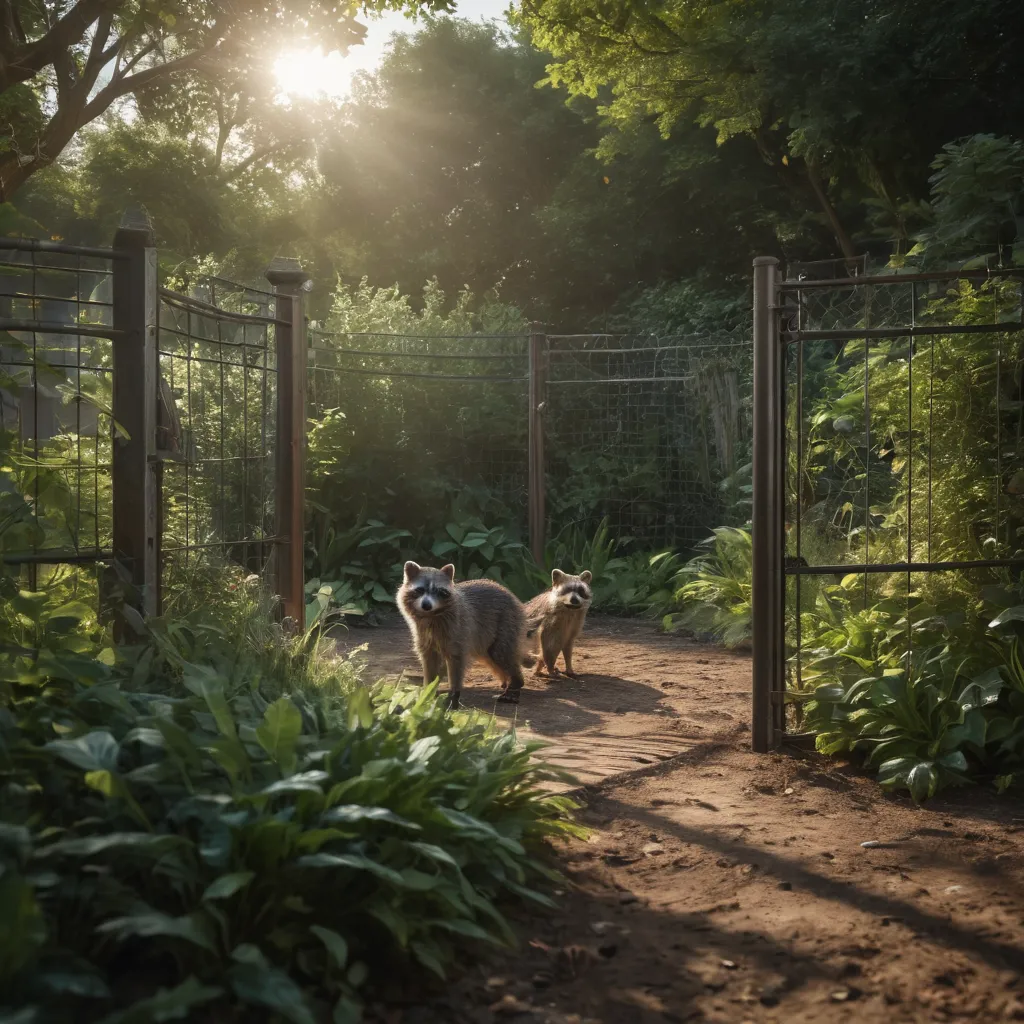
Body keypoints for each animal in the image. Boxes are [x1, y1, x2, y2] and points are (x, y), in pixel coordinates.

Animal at [397, 562, 528, 710]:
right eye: (420, 590)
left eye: (439, 591)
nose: (426, 605)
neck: (431, 615)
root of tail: (510, 593)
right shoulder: (424, 637)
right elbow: (429, 662)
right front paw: (428, 691)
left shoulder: (458, 630)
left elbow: (456, 662)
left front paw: (454, 694)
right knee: (490, 657)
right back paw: (506, 680)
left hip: (506, 621)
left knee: (501, 653)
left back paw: (515, 683)